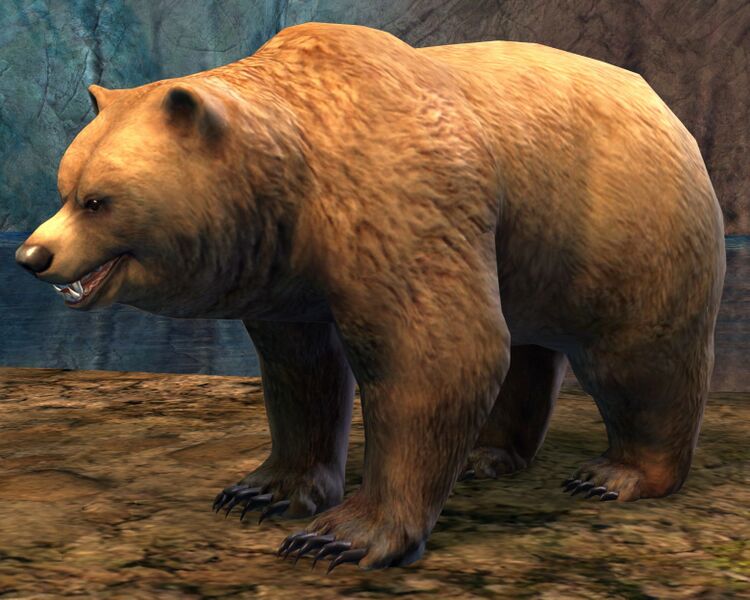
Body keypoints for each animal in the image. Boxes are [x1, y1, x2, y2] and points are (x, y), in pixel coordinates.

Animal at [16, 22, 725, 571]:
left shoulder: (400, 199)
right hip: (527, 247)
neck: (301, 183)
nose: (32, 255)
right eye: (64, 184)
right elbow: (302, 373)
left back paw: (616, 475)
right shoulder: (289, 275)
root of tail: (659, 99)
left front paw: (340, 537)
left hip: (622, 218)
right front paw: (261, 492)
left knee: (637, 354)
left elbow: (435, 354)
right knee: (526, 344)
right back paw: (487, 455)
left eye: (97, 200)